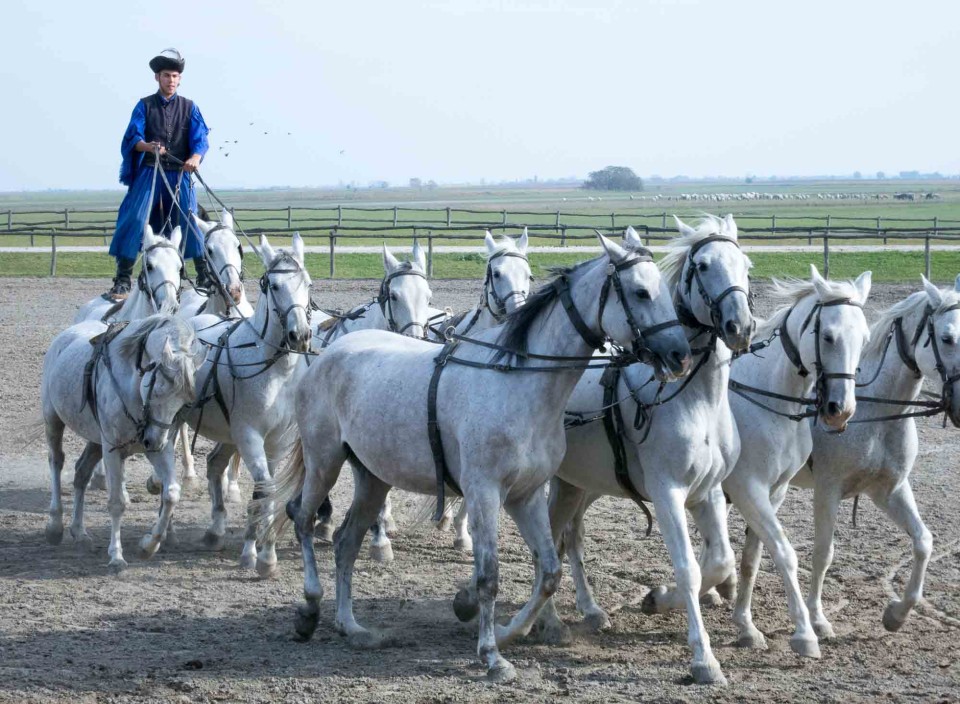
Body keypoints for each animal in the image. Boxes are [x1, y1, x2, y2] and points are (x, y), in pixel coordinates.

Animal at [40, 316, 202, 568]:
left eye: (185, 401)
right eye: (157, 390)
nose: (154, 441)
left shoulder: (158, 448)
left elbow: (171, 494)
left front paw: (148, 546)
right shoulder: (112, 449)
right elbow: (117, 502)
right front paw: (116, 556)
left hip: (96, 441)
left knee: (81, 472)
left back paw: (80, 533)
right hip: (53, 420)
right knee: (56, 462)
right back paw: (55, 527)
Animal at [184, 234, 312, 576]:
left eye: (307, 284)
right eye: (275, 286)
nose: (300, 335)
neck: (273, 370)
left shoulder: (277, 441)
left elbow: (268, 491)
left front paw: (264, 550)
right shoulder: (250, 435)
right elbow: (264, 488)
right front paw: (256, 553)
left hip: (229, 434)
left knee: (215, 464)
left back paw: (215, 531)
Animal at [266, 236, 692, 680]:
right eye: (641, 292)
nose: (679, 354)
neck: (518, 381)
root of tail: (328, 351)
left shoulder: (526, 495)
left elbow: (549, 571)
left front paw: (510, 632)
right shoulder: (485, 492)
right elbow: (489, 576)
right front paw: (492, 655)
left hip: (372, 478)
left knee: (346, 543)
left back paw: (351, 627)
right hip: (324, 461)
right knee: (302, 517)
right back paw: (309, 612)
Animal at [792, 278, 960, 640]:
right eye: (947, 338)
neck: (875, 411)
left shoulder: (889, 490)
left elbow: (923, 541)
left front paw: (896, 614)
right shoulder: (827, 491)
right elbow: (823, 553)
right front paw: (817, 619)